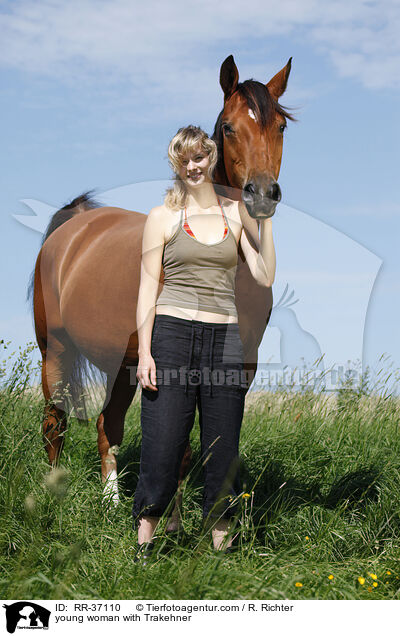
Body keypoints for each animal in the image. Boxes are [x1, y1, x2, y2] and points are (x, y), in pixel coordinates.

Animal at [30, 53, 294, 512]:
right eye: (228, 126)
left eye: (280, 125)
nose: (261, 193)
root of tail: (74, 228)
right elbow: (180, 447)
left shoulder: (240, 366)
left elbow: (219, 443)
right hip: (55, 348)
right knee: (55, 421)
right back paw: (54, 491)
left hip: (123, 363)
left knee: (108, 425)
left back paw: (111, 503)